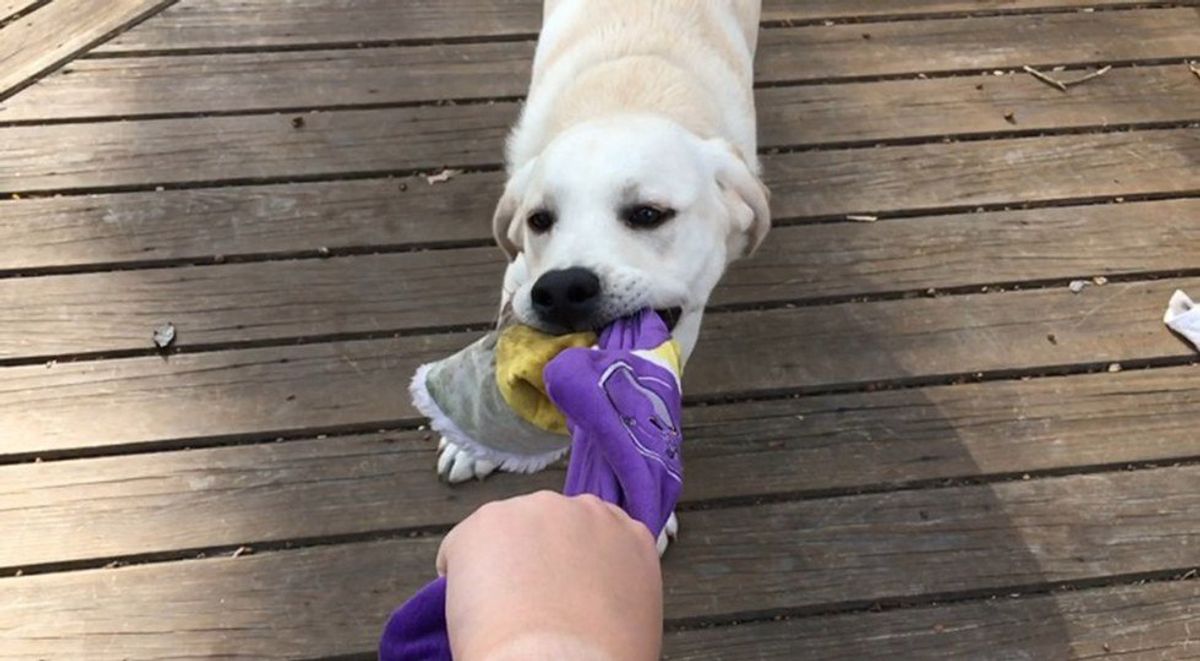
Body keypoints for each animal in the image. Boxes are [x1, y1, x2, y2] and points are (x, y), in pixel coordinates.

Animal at [441, 0, 768, 487]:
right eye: (539, 220)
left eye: (648, 214)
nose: (560, 290)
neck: (628, 95)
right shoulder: (519, 273)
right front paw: (471, 442)